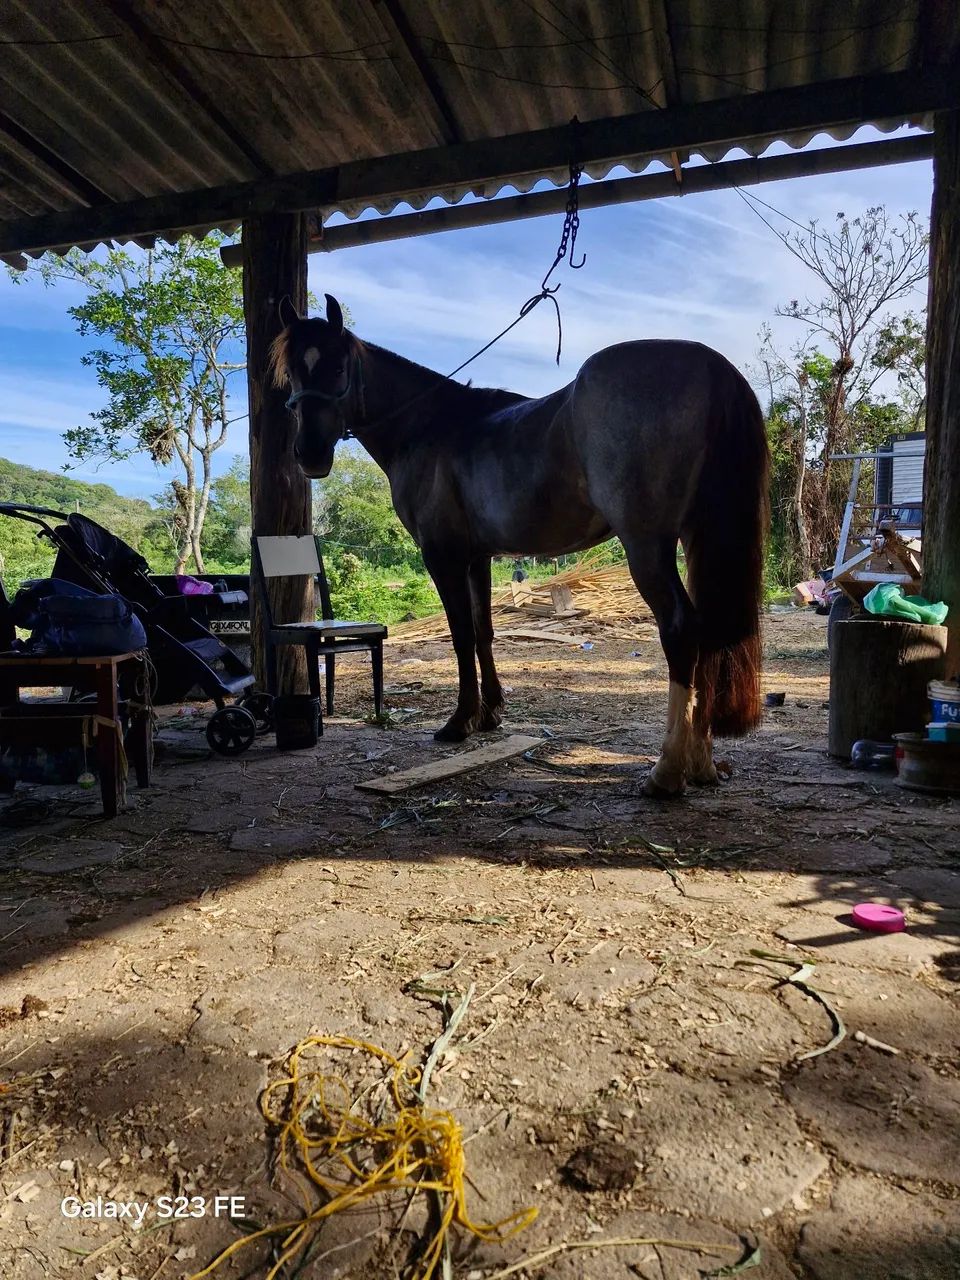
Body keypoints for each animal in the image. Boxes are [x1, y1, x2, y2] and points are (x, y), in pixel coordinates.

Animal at [271, 295, 769, 796]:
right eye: (293, 372)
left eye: (338, 366)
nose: (309, 454)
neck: (428, 427)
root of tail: (710, 364)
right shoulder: (477, 558)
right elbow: (483, 632)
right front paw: (490, 712)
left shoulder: (442, 556)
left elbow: (461, 635)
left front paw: (460, 721)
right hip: (693, 541)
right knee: (706, 633)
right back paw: (701, 764)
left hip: (647, 546)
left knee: (681, 630)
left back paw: (666, 772)